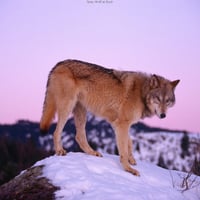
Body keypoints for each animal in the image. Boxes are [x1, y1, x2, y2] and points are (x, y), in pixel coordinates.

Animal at [40, 59, 180, 175]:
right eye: (158, 99)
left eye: (167, 101)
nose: (163, 115)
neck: (142, 93)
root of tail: (58, 64)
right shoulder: (122, 124)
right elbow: (123, 149)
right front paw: (128, 169)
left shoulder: (118, 123)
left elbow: (129, 142)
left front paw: (131, 160)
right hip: (67, 107)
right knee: (56, 132)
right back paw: (60, 151)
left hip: (81, 112)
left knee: (79, 136)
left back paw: (92, 153)